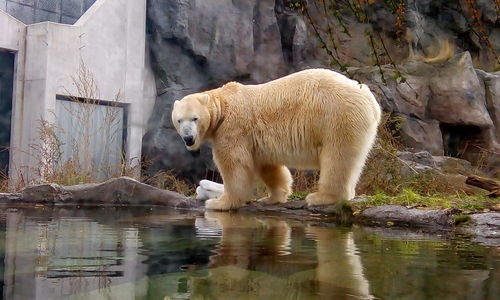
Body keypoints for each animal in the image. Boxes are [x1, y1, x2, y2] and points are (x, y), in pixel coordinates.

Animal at [173, 68, 382, 210]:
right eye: (179, 120)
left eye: (195, 118)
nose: (188, 138)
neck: (223, 106)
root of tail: (367, 97)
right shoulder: (256, 139)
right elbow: (268, 166)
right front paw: (272, 198)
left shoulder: (233, 129)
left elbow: (235, 166)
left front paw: (218, 202)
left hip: (336, 116)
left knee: (337, 157)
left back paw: (320, 197)